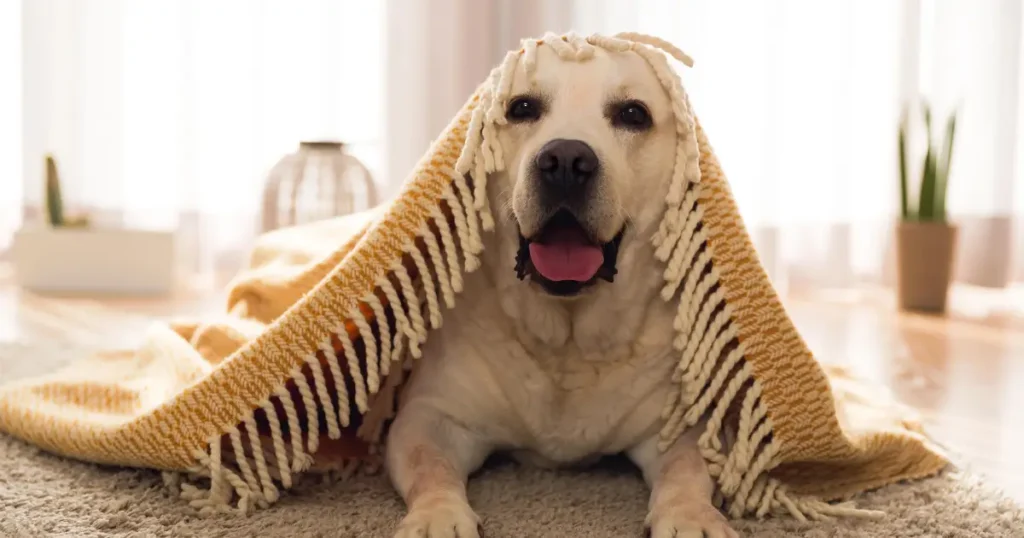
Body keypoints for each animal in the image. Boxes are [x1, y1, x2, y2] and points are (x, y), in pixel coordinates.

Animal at [385, 40, 737, 536]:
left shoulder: (680, 426)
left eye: (633, 114)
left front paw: (692, 517)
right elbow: (428, 465)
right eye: (521, 108)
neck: (567, 342)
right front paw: (437, 516)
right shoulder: (429, 415)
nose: (567, 162)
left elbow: (687, 469)